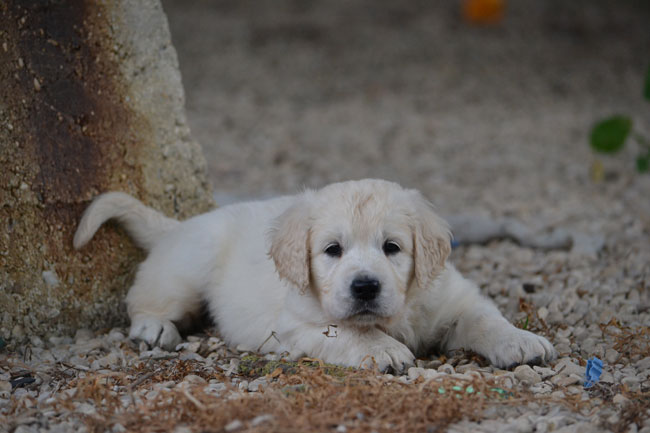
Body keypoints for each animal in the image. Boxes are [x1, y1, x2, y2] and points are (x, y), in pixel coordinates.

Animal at [74, 179, 552, 372]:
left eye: (392, 247)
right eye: (332, 250)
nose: (365, 286)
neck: (398, 312)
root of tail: (178, 226)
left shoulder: (453, 297)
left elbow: (485, 318)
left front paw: (520, 341)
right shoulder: (299, 324)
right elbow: (350, 331)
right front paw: (384, 350)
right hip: (188, 268)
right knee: (144, 297)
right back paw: (154, 328)